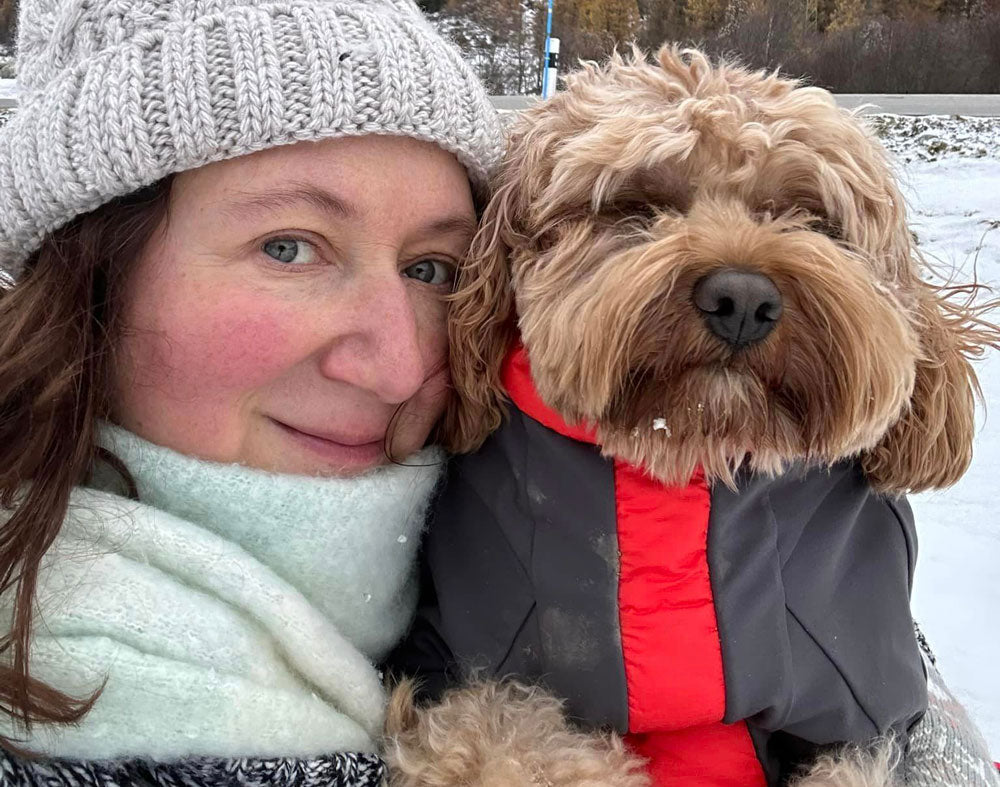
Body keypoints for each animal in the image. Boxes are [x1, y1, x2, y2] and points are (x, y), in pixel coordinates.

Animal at [384, 46, 1000, 784]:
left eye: (808, 215)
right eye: (637, 204)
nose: (743, 299)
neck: (688, 461)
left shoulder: (868, 700)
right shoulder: (462, 665)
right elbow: (505, 738)